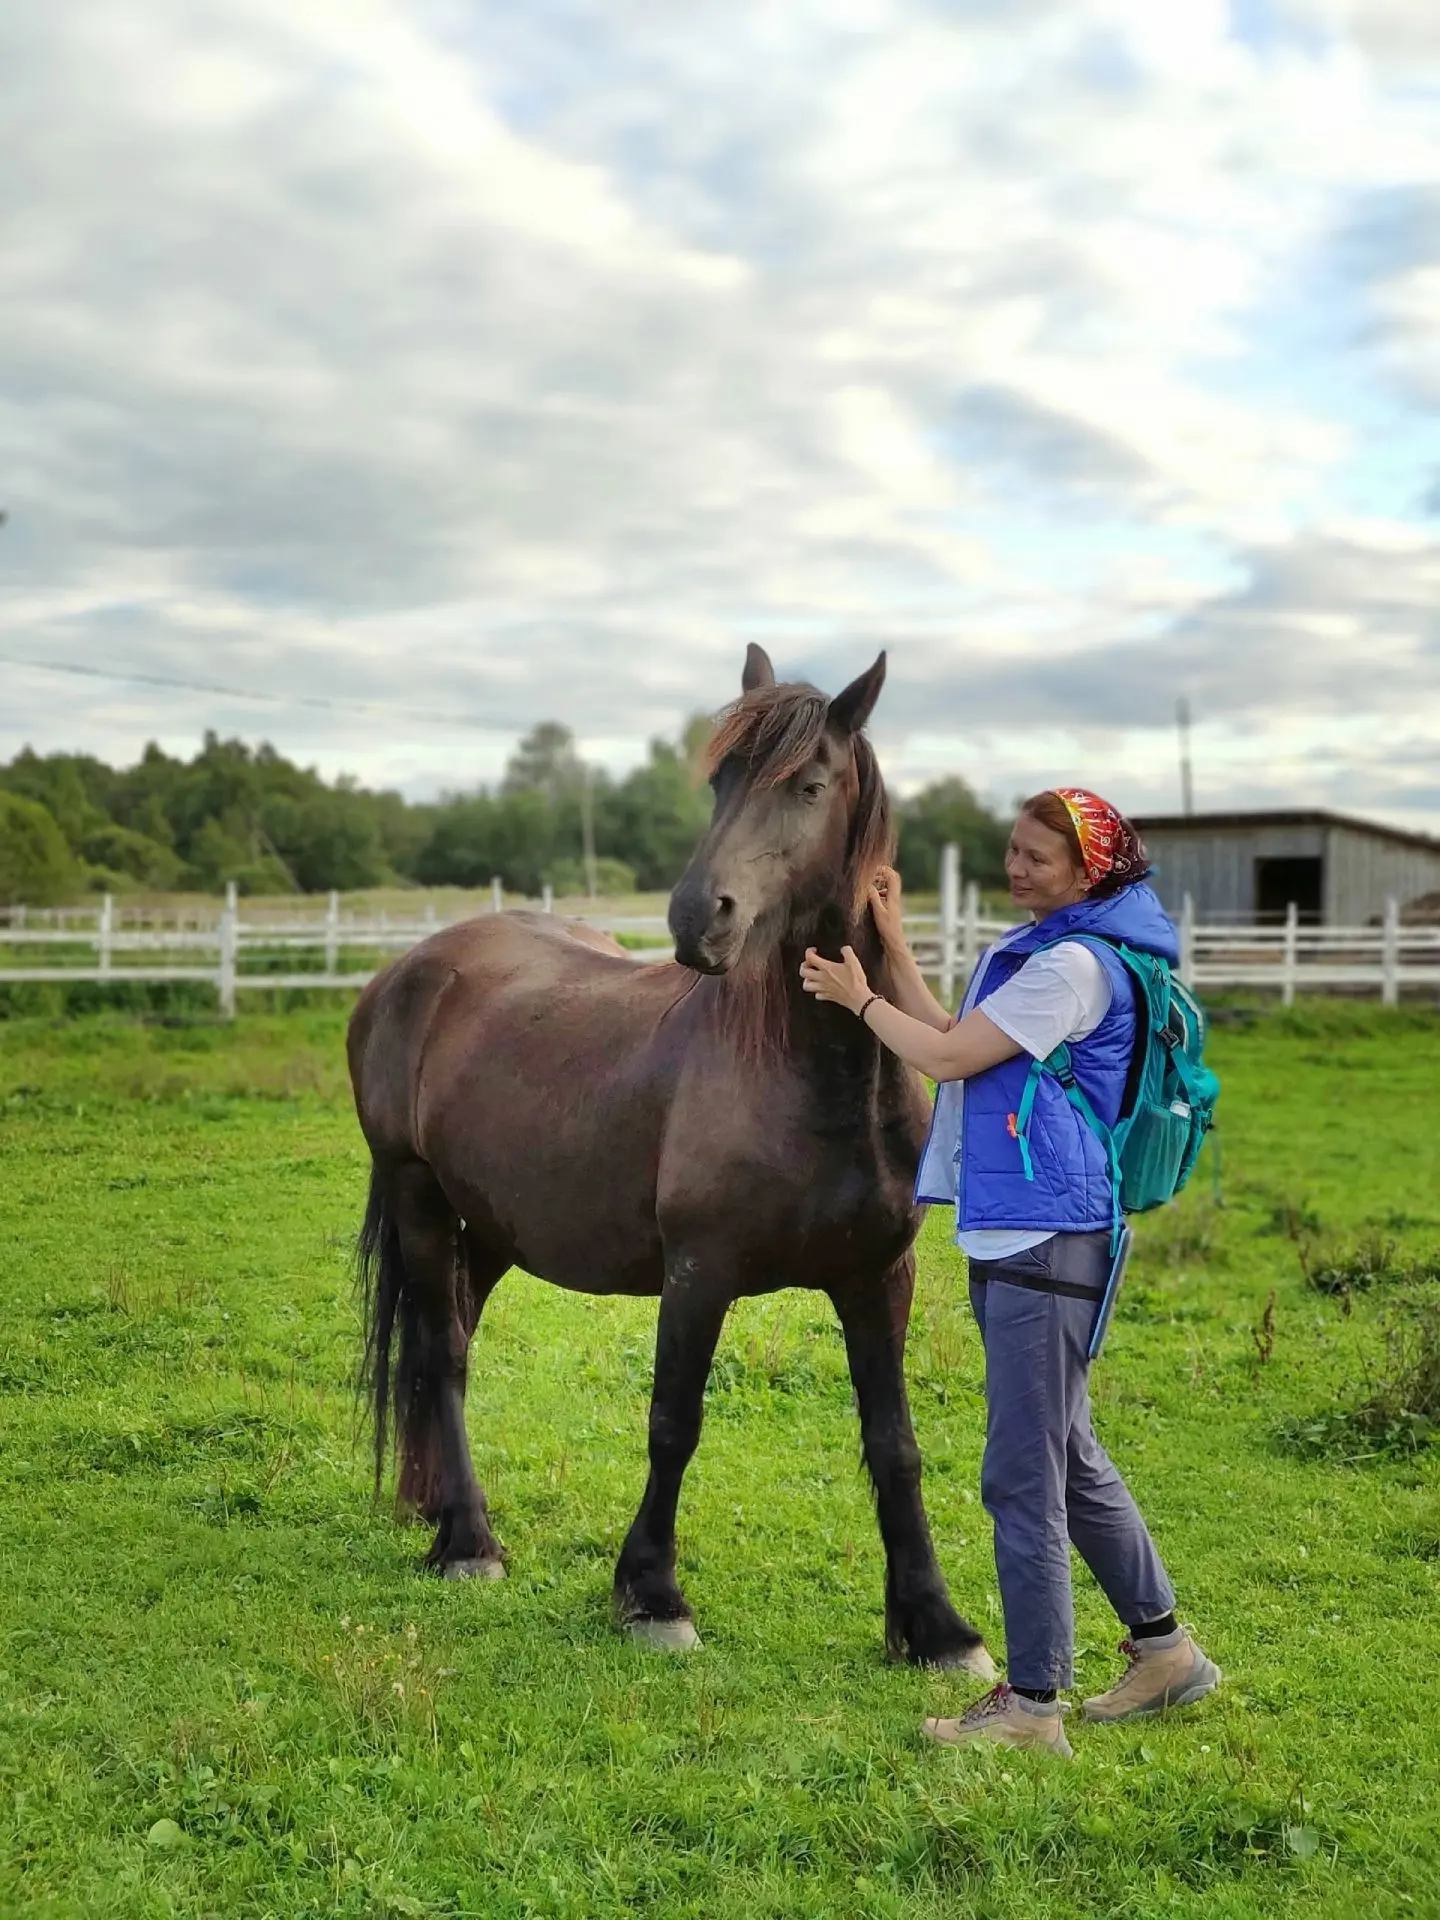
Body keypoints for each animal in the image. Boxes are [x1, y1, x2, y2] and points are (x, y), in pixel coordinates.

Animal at [348, 645, 993, 1675]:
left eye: (809, 785)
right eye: (721, 780)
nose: (698, 918)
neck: (822, 1076)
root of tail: (412, 969)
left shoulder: (876, 1277)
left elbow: (894, 1443)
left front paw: (936, 1626)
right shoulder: (700, 1272)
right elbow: (673, 1422)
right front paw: (652, 1596)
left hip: (483, 1228)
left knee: (444, 1344)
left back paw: (438, 1511)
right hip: (417, 1197)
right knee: (442, 1357)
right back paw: (470, 1544)